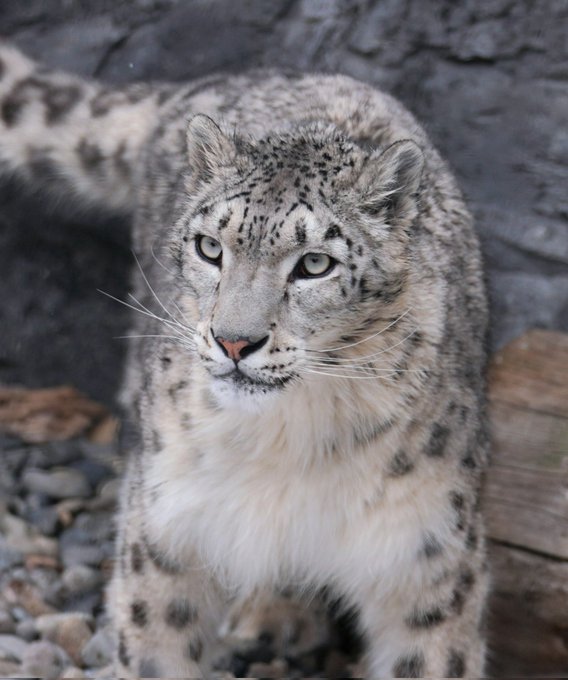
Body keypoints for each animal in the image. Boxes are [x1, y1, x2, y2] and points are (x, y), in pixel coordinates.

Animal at [0, 41, 488, 676]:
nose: (234, 341)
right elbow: (155, 647)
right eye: (211, 248)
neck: (291, 437)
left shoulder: (425, 559)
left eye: (314, 264)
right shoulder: (166, 529)